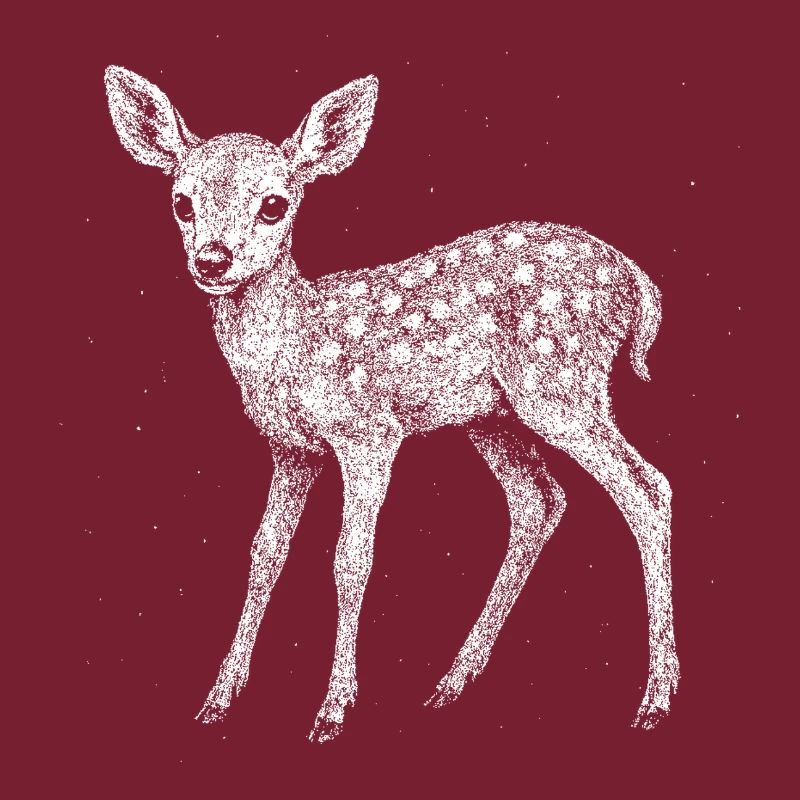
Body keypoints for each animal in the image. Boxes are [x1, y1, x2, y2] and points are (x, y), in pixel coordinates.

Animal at [104, 66, 679, 741]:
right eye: (181, 202)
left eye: (274, 204)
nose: (213, 260)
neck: (296, 344)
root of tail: (640, 285)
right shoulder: (291, 449)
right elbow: (264, 552)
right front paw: (219, 697)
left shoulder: (369, 434)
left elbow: (350, 560)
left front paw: (332, 709)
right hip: (493, 415)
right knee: (540, 501)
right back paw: (453, 682)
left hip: (562, 383)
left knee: (646, 487)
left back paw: (656, 698)